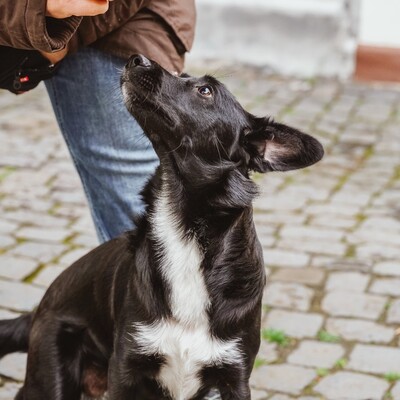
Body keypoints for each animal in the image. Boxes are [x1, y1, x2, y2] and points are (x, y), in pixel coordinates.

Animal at [0, 55, 322, 400]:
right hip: (52, 374)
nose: (136, 58)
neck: (184, 233)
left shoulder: (235, 375)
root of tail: (37, 311)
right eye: (182, 75)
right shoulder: (126, 367)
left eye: (205, 90)